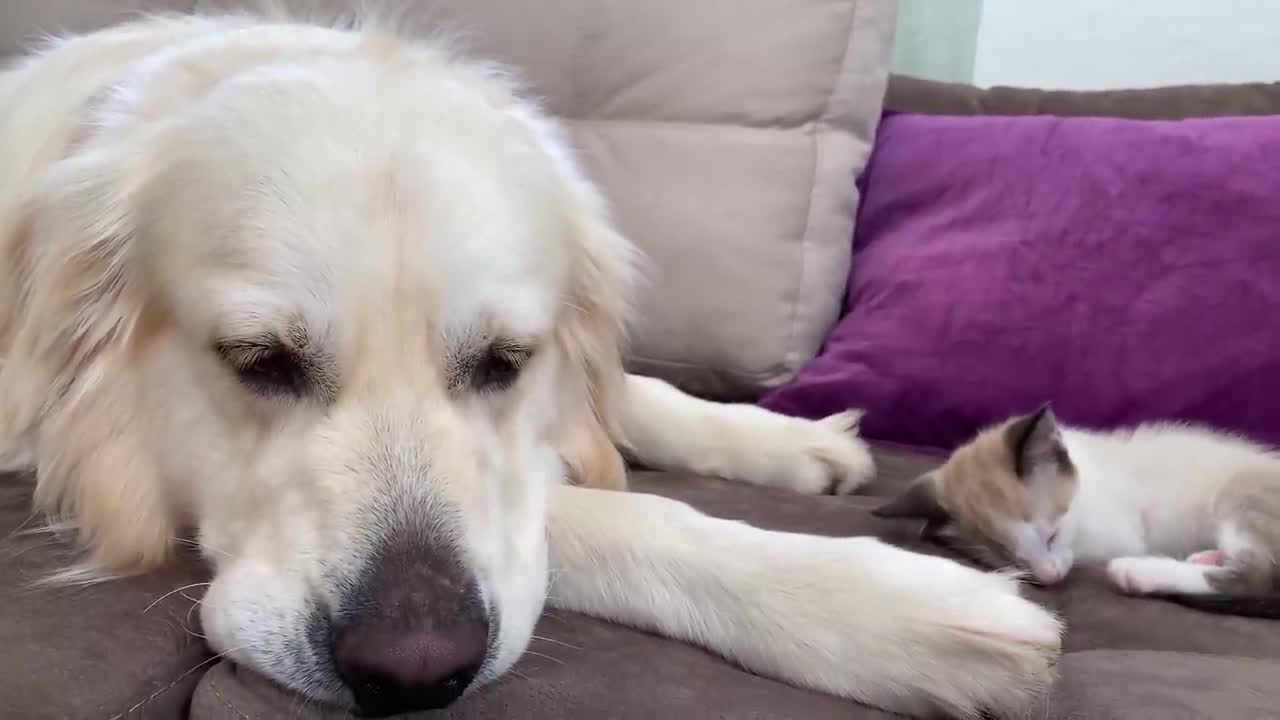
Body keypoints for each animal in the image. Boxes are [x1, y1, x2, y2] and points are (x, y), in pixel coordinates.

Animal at [875, 404, 1280, 617]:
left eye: (1052, 534)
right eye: (1008, 558)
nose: (1050, 578)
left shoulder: (1119, 533)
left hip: (1239, 496)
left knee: (1259, 576)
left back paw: (1138, 572)